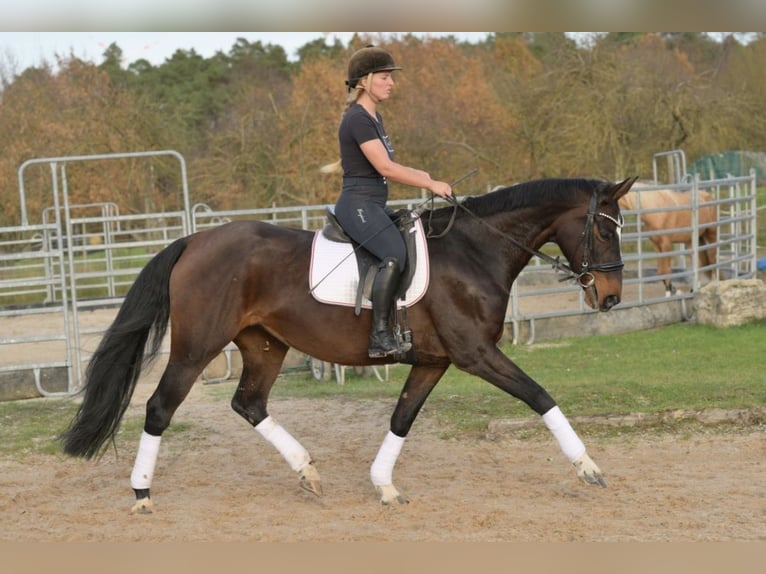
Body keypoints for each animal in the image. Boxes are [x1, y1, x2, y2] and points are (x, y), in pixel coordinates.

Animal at [58, 176, 636, 512]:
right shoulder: (476, 354)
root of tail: (194, 240)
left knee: (249, 403)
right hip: (198, 346)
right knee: (160, 406)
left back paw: (308, 473)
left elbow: (402, 418)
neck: (474, 251)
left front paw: (384, 485)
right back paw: (141, 492)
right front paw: (589, 468)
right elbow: (540, 396)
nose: (609, 297)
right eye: (605, 230)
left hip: (264, 345)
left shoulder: (434, 361)